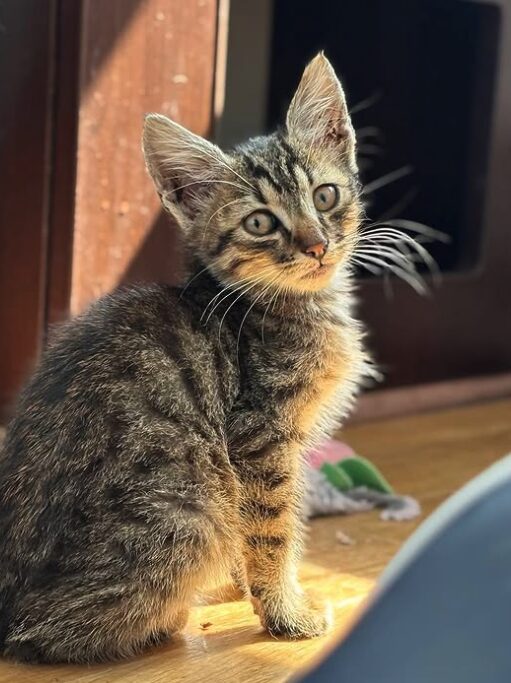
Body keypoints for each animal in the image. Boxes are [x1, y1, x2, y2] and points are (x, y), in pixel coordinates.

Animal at [0, 53, 370, 664]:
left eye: (325, 196)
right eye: (260, 222)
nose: (317, 246)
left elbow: (254, 533)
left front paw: (249, 590)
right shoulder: (259, 441)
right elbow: (270, 530)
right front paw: (284, 613)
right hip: (191, 509)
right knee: (45, 632)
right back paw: (169, 615)